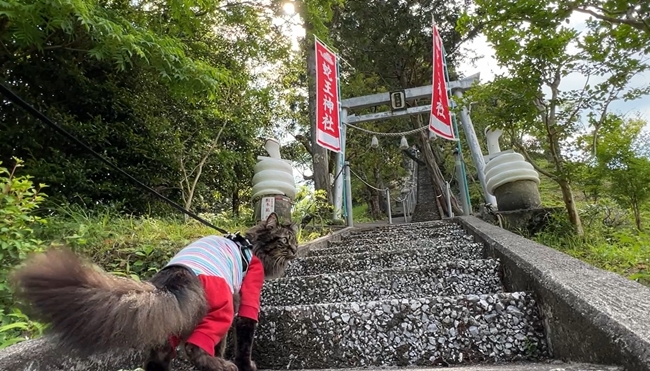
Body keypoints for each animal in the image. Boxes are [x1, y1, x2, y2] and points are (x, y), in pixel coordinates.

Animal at [10, 212, 298, 371]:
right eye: (285, 241)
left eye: (295, 241)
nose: (295, 250)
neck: (250, 244)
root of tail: (173, 278)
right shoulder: (247, 299)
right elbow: (244, 342)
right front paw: (246, 366)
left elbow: (223, 345)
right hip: (222, 309)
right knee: (194, 348)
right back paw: (223, 367)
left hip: (173, 326)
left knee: (157, 361)